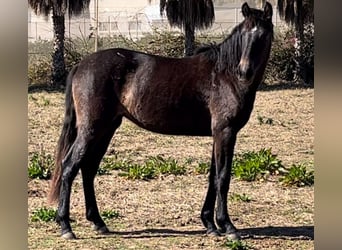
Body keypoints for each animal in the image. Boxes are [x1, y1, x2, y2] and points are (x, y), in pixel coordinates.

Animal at [49, 2, 276, 240]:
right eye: (244, 34)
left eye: (262, 35)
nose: (244, 71)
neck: (224, 75)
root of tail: (80, 66)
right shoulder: (226, 131)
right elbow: (223, 177)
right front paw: (228, 226)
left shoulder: (218, 134)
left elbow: (213, 177)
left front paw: (210, 224)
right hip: (91, 129)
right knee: (69, 166)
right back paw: (66, 226)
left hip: (106, 129)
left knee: (88, 169)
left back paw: (98, 222)